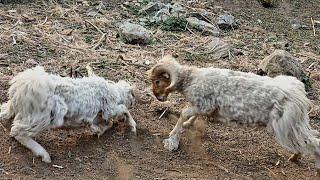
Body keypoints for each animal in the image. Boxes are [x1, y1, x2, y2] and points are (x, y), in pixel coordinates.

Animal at [0, 63, 136, 163]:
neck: (114, 92)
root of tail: (22, 87)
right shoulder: (109, 109)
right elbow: (123, 110)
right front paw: (132, 125)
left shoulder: (98, 116)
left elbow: (105, 123)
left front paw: (98, 131)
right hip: (40, 117)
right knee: (18, 132)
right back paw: (43, 154)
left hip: (18, 108)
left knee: (4, 115)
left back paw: (7, 127)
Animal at [148, 54, 320, 175]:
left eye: (157, 81)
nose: (158, 97)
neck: (190, 78)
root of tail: (300, 95)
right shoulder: (204, 107)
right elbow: (192, 115)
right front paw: (187, 125)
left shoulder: (203, 104)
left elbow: (184, 113)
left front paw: (172, 140)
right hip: (295, 125)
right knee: (310, 138)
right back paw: (295, 157)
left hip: (287, 127)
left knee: (312, 142)